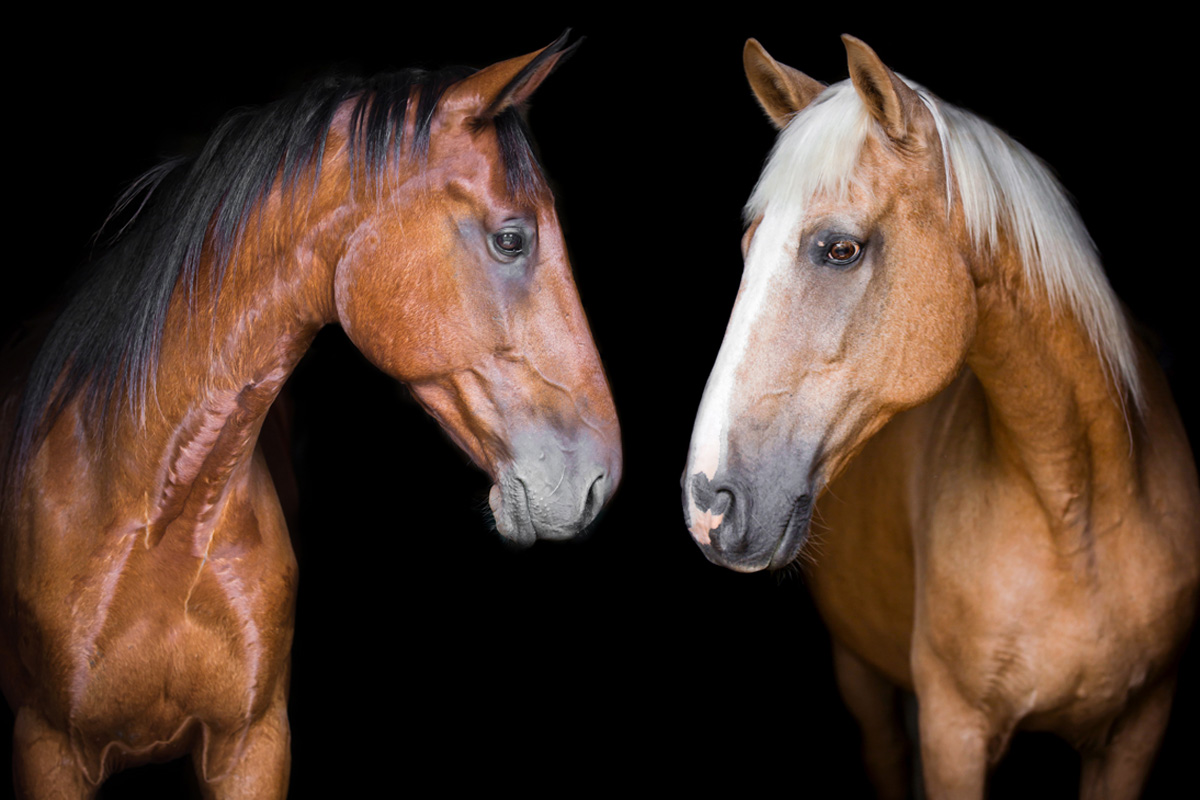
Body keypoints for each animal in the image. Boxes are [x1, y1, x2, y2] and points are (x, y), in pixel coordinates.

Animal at [686, 37, 1200, 800]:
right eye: (750, 247)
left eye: (840, 248)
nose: (708, 500)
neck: (1077, 507)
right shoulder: (954, 730)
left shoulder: (1137, 732)